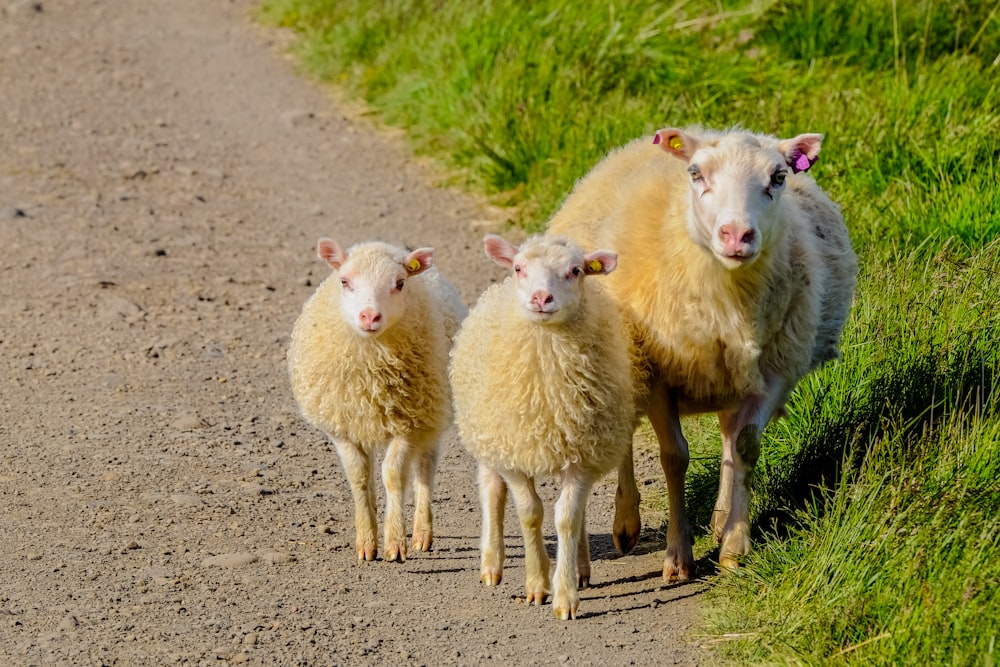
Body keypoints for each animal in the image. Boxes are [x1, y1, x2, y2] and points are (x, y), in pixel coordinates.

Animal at [286, 240, 464, 564]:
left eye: (400, 283)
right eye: (344, 281)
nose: (369, 316)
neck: (372, 372)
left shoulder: (409, 424)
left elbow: (393, 476)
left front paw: (395, 543)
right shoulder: (343, 428)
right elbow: (359, 478)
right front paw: (367, 542)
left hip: (432, 416)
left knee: (424, 471)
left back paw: (422, 533)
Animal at [450, 235, 636, 620]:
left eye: (576, 270)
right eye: (519, 267)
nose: (540, 298)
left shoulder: (583, 456)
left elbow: (566, 518)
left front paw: (565, 596)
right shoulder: (515, 455)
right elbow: (531, 514)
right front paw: (537, 583)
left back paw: (580, 568)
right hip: (488, 437)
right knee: (491, 490)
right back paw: (491, 564)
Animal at [548, 125, 860, 580]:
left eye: (778, 177)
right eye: (696, 174)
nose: (737, 235)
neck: (727, 296)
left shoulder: (774, 373)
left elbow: (746, 447)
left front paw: (734, 546)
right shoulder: (656, 372)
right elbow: (674, 457)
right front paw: (678, 556)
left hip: (732, 376)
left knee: (729, 436)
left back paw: (718, 519)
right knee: (621, 434)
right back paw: (625, 524)